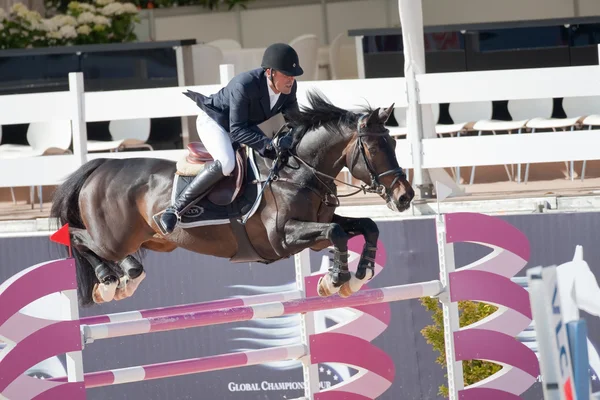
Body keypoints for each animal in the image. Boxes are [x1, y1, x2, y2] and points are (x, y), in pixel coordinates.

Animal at [49, 90, 414, 308]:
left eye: (394, 143)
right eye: (374, 148)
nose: (405, 196)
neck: (298, 171)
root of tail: (101, 165)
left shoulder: (315, 231)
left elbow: (365, 226)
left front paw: (360, 274)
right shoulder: (283, 237)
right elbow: (338, 233)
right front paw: (335, 279)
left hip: (152, 240)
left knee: (123, 256)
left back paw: (126, 278)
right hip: (112, 237)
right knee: (78, 238)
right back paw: (109, 282)